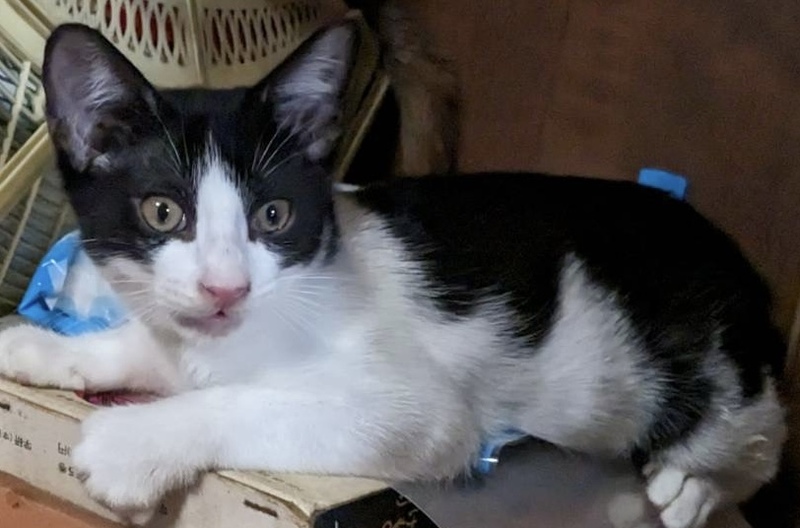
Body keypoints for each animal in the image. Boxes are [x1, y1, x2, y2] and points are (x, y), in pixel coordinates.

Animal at [0, 16, 787, 528]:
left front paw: (134, 443)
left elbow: (255, 402)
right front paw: (48, 348)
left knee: (758, 445)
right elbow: (155, 348)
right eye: (163, 212)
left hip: (709, 376)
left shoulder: (429, 416)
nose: (227, 288)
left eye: (274, 216)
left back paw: (690, 485)